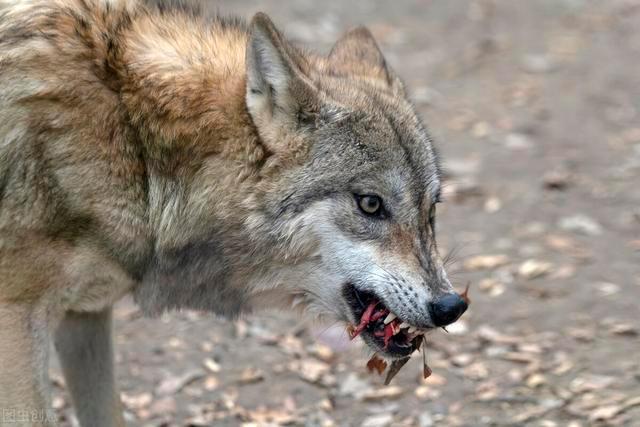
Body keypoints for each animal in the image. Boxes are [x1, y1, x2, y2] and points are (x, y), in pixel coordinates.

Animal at [0, 0, 470, 424]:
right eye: (370, 203)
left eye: (430, 209)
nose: (451, 306)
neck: (134, 142)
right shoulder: (18, 323)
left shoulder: (85, 315)